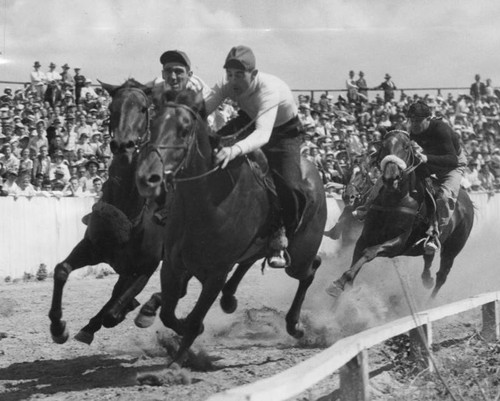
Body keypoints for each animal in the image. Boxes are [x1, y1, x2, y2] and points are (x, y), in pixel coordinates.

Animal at [48, 79, 163, 344]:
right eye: (112, 108)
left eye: (143, 108)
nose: (123, 144)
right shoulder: (91, 248)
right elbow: (61, 270)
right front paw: (58, 327)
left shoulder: (147, 266)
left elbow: (113, 312)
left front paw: (130, 310)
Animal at [134, 88, 328, 362]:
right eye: (152, 125)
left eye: (184, 130)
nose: (147, 177)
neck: (208, 199)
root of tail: (315, 176)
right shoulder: (172, 265)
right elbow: (169, 314)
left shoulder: (215, 273)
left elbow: (195, 319)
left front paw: (177, 363)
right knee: (250, 262)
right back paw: (229, 298)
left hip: (299, 258)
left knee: (311, 270)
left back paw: (295, 326)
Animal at [326, 130, 474, 298]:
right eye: (384, 146)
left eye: (406, 146)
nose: (391, 177)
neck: (395, 200)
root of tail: (468, 201)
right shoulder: (363, 236)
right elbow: (357, 255)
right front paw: (342, 284)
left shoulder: (398, 243)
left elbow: (369, 252)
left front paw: (341, 282)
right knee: (428, 257)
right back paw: (426, 278)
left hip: (453, 249)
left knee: (442, 275)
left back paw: (429, 300)